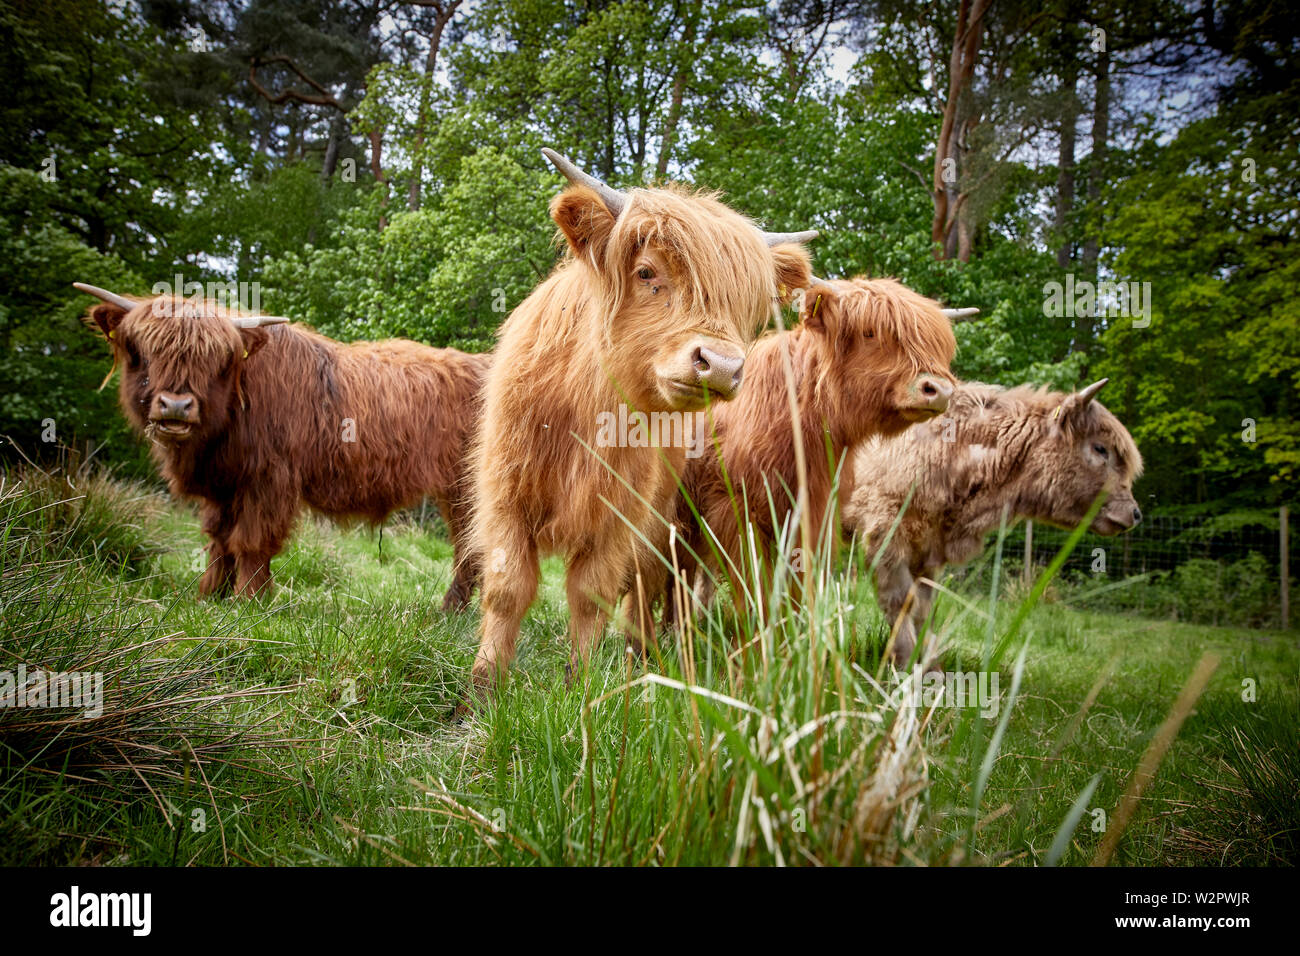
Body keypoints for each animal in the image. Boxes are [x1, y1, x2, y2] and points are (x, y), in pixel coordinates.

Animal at [77, 286, 491, 613]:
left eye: (218, 361)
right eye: (143, 352)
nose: (176, 406)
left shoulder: (268, 478)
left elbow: (250, 540)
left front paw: (249, 601)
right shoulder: (223, 484)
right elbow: (219, 539)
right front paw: (210, 596)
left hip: (465, 489)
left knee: (469, 548)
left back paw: (449, 611)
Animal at [467, 151, 811, 702]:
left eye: (747, 304)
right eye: (648, 272)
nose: (720, 366)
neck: (585, 412)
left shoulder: (621, 511)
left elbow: (592, 594)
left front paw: (580, 687)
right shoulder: (505, 494)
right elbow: (506, 588)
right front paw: (482, 689)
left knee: (647, 580)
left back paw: (640, 651)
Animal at [842, 377, 1138, 671]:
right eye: (1100, 448)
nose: (1135, 514)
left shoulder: (927, 554)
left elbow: (925, 611)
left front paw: (932, 669)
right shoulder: (886, 536)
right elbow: (902, 602)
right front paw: (906, 666)